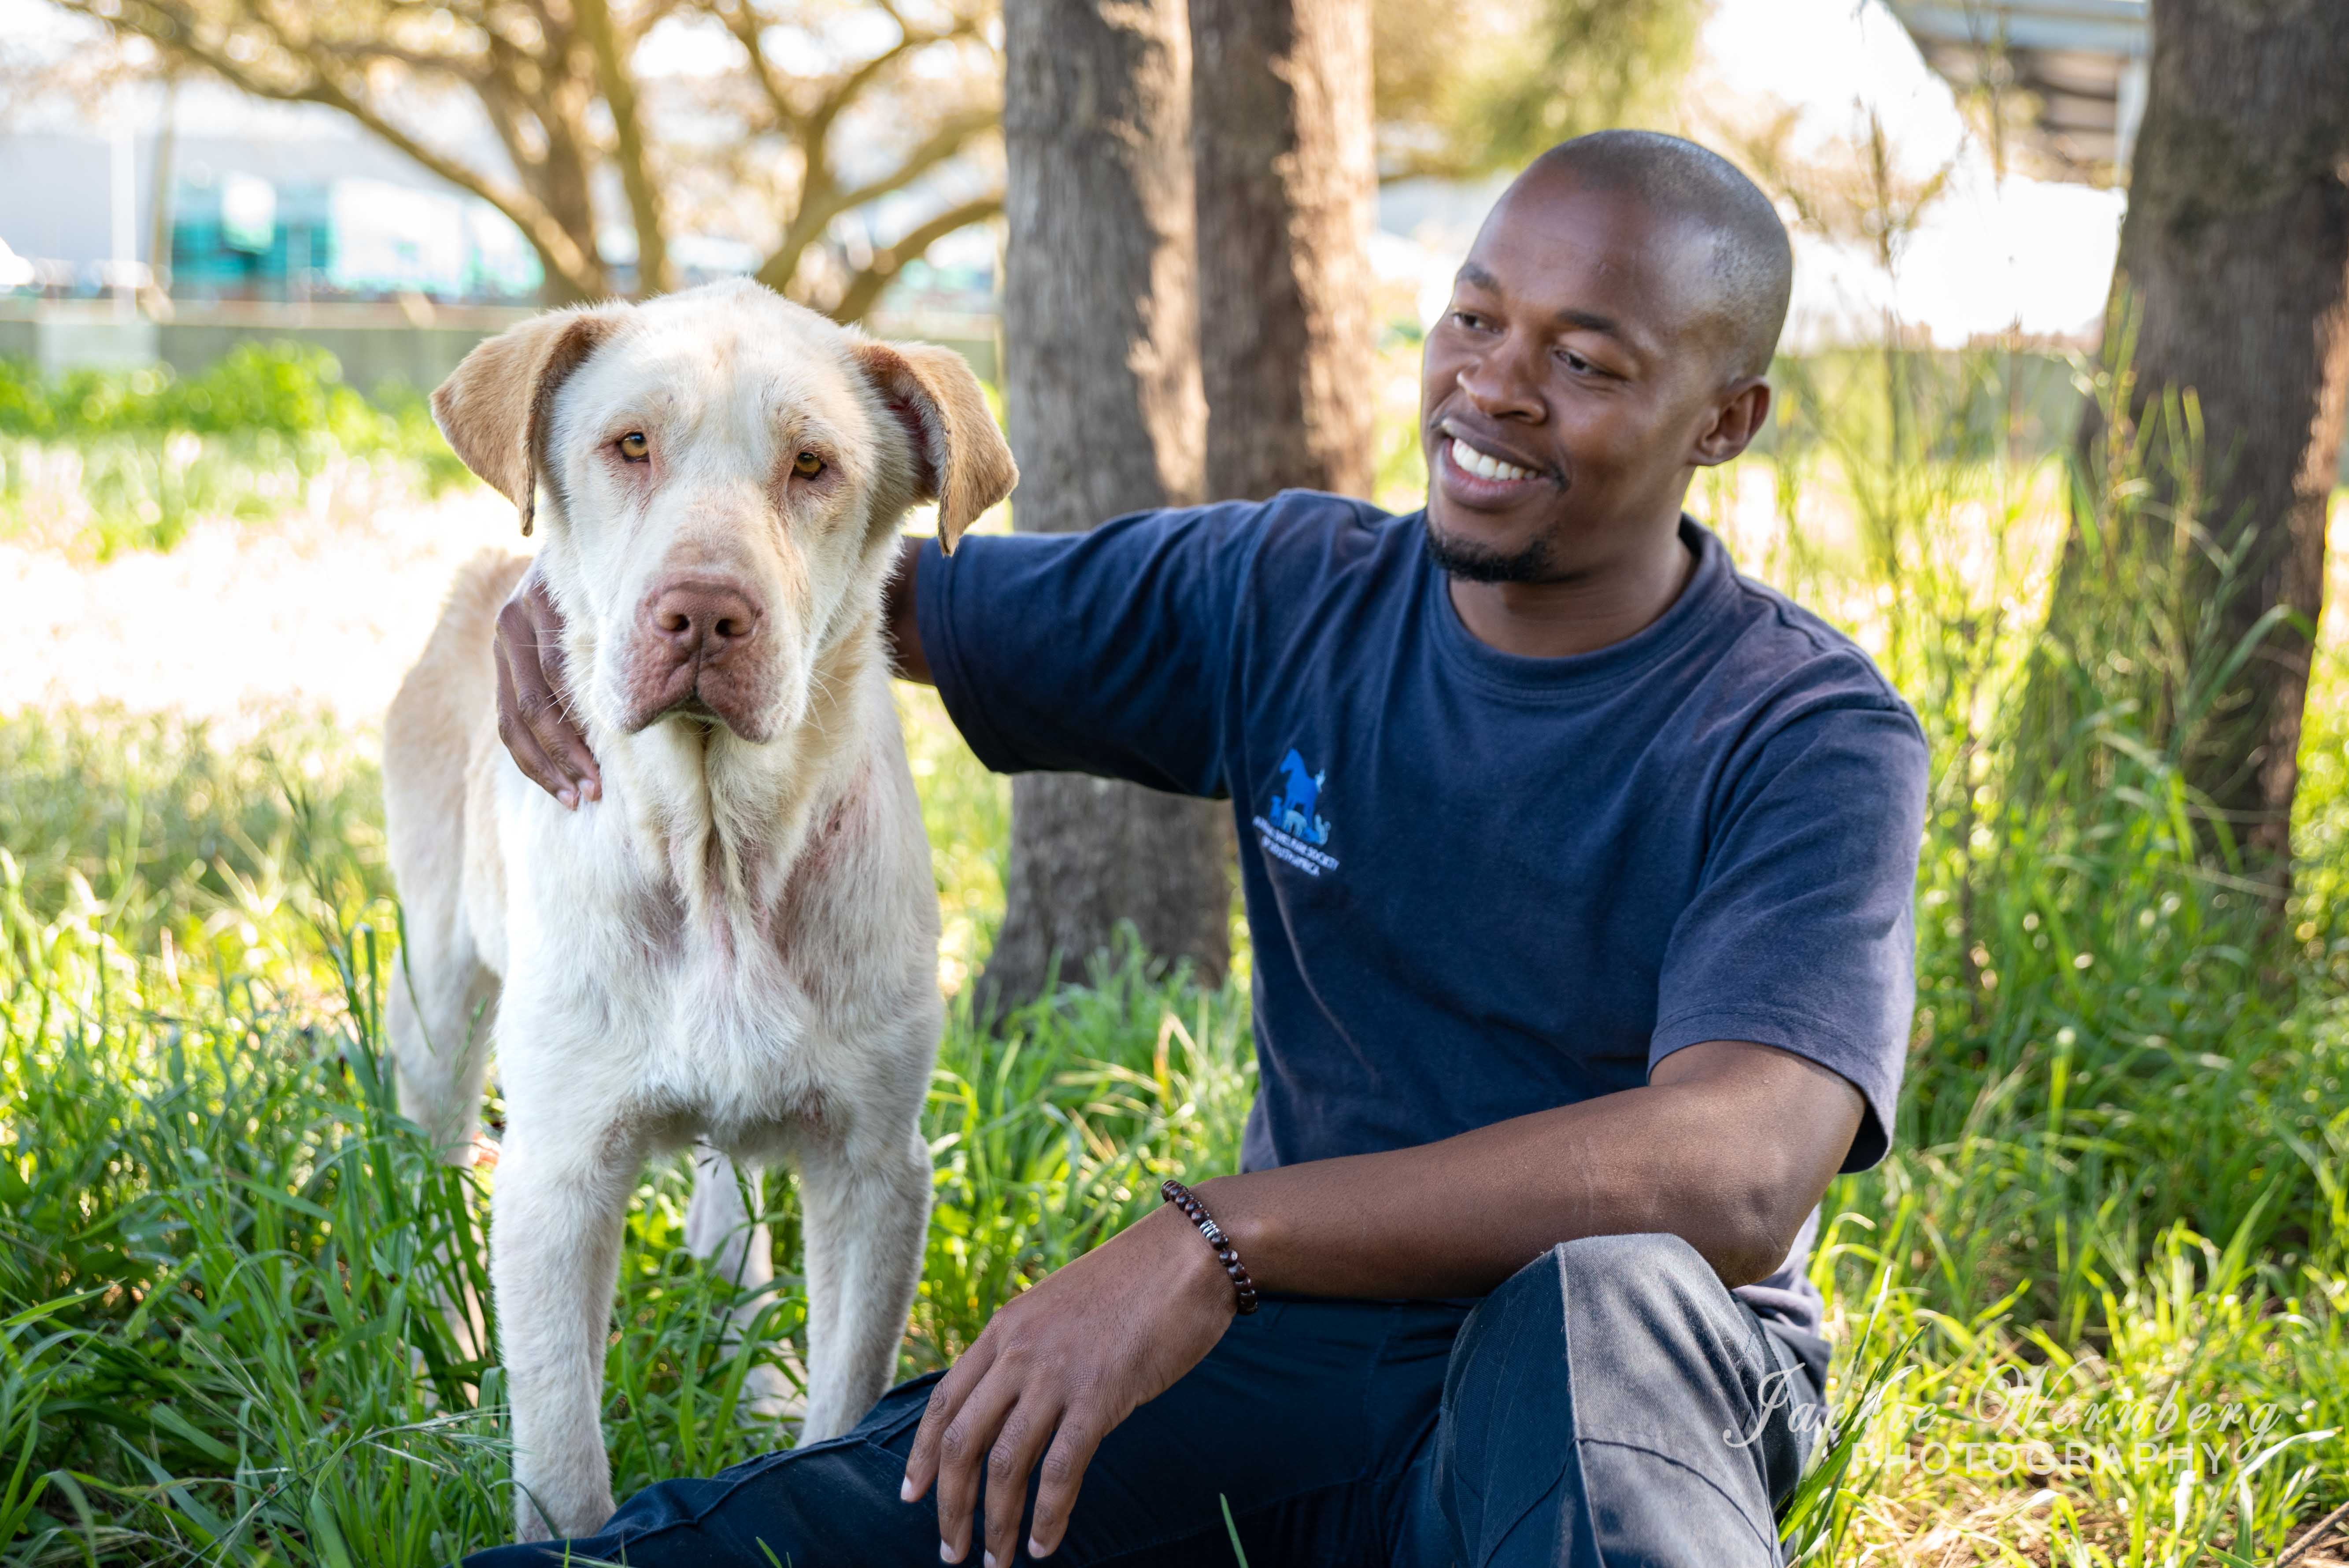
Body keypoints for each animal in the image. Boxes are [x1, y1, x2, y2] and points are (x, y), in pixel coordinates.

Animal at [383, 276, 1010, 1540]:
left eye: (812, 465)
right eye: (629, 445)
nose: (705, 614)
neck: (718, 853)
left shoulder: (875, 1167)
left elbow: (844, 1404)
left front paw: (794, 1429)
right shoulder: (560, 1174)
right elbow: (563, 1456)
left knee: (729, 1194)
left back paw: (751, 1367)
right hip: (434, 1002)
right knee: (433, 1176)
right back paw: (441, 1382)